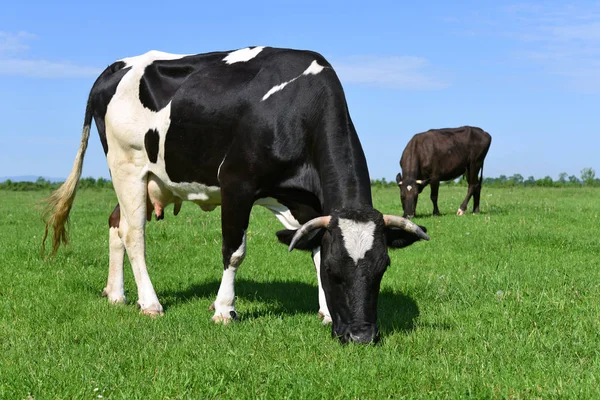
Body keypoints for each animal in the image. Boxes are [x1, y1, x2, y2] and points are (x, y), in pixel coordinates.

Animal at [42, 45, 428, 342]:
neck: (298, 106)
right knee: (133, 233)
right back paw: (150, 303)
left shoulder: (307, 202)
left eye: (382, 267)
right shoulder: (236, 184)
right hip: (127, 166)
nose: (361, 336)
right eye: (336, 271)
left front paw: (326, 313)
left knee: (115, 223)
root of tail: (115, 67)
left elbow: (315, 247)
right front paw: (224, 309)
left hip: (148, 177)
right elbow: (234, 251)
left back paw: (116, 294)